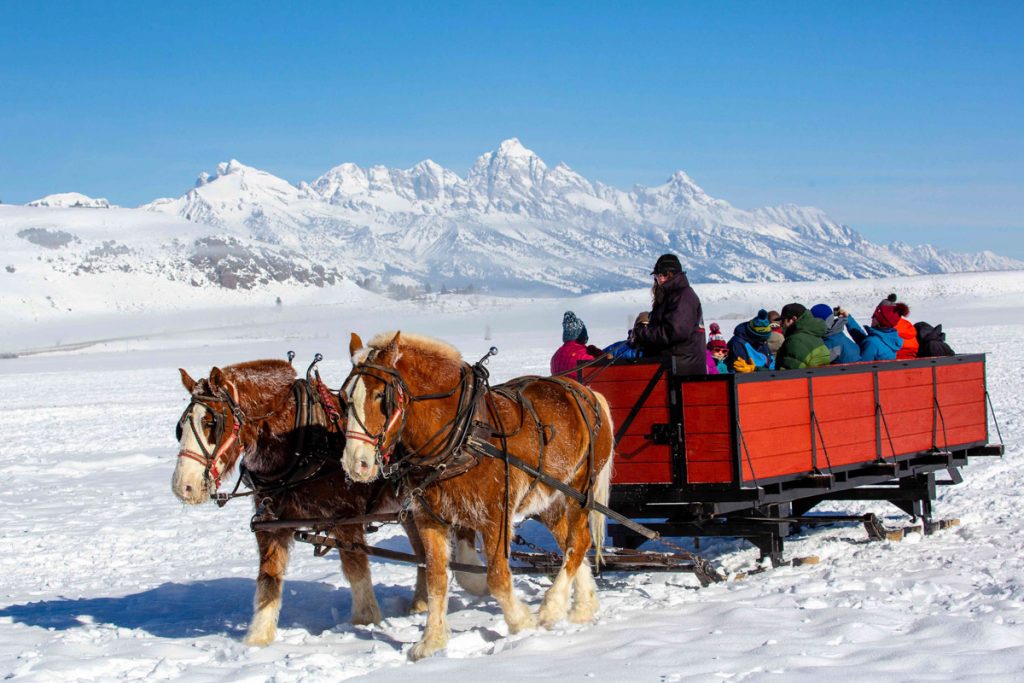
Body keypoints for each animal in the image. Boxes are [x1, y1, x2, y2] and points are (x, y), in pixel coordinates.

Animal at [171, 360, 483, 651]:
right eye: (180, 427)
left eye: (212, 422)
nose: (183, 486)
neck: (299, 446)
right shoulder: (271, 525)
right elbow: (269, 579)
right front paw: (258, 639)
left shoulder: (345, 519)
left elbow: (356, 568)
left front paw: (365, 620)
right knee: (421, 552)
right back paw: (419, 602)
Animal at [344, 331, 614, 663]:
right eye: (346, 397)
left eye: (381, 395)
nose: (356, 463)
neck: (460, 438)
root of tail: (586, 391)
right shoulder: (430, 519)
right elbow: (438, 578)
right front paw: (431, 641)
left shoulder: (495, 516)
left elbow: (497, 577)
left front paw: (521, 622)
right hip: (548, 498)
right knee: (574, 542)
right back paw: (582, 607)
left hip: (579, 489)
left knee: (578, 542)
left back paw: (551, 608)